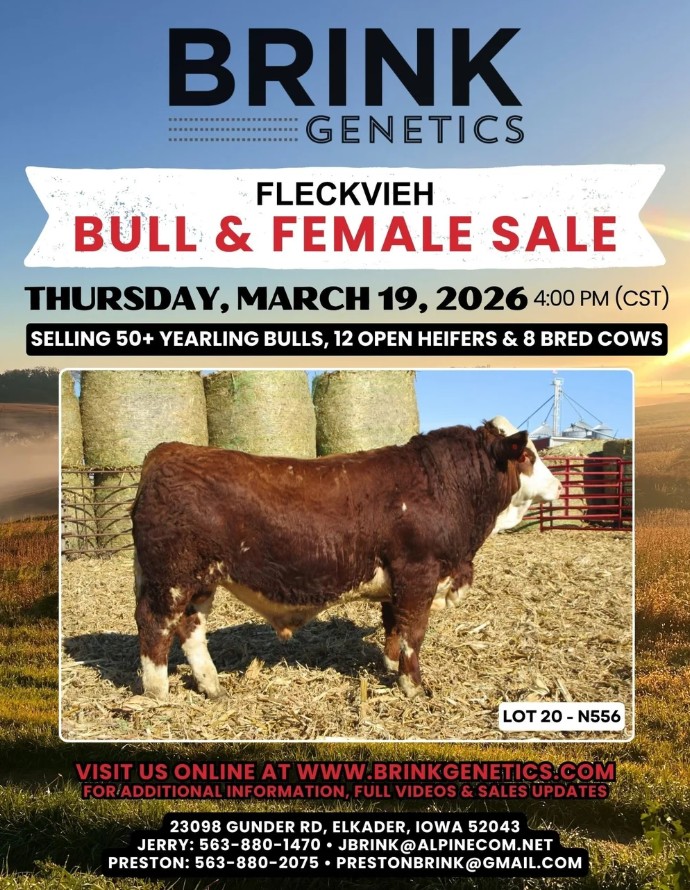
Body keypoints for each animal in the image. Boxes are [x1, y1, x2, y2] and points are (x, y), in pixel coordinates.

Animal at [131, 420, 561, 702]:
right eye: (527, 455)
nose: (558, 486)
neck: (446, 485)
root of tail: (169, 451)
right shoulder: (418, 574)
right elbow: (414, 633)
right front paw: (413, 686)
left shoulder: (397, 584)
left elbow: (393, 629)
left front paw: (390, 668)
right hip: (170, 579)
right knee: (156, 626)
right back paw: (158, 693)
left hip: (200, 581)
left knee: (191, 629)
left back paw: (212, 686)